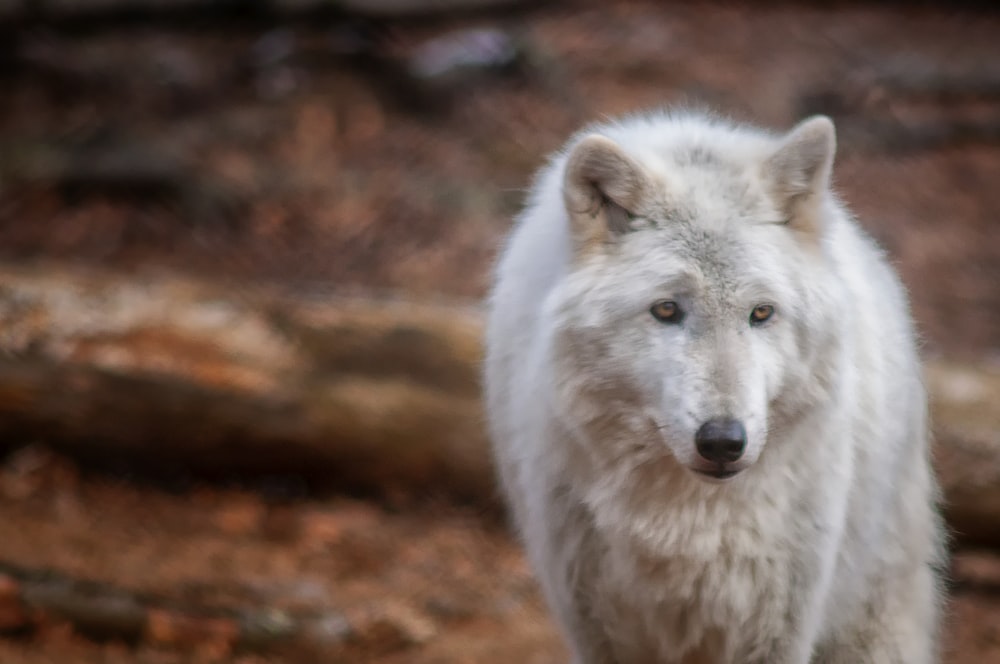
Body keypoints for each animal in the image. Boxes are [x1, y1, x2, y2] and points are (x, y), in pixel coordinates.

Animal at [484, 111, 944, 660]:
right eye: (666, 310)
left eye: (761, 313)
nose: (723, 441)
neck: (686, 523)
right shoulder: (596, 625)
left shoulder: (779, 627)